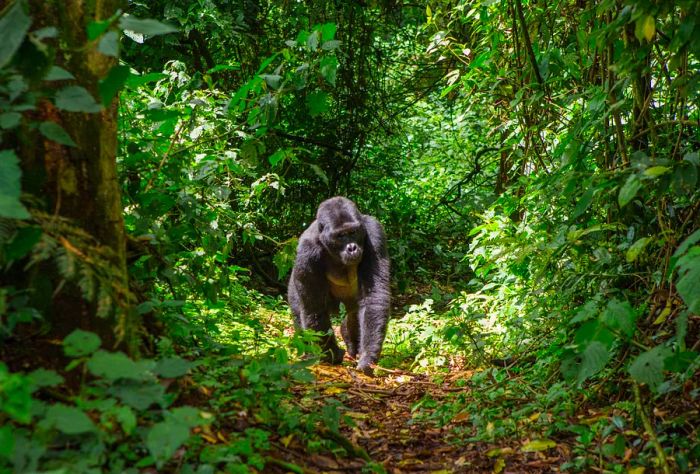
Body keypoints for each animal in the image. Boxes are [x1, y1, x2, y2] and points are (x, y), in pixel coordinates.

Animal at [288, 196, 392, 374]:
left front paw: (367, 356)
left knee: (354, 313)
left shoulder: (374, 232)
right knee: (300, 310)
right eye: (340, 236)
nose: (352, 248)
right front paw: (332, 355)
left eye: (353, 232)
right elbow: (315, 309)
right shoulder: (307, 251)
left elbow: (374, 297)